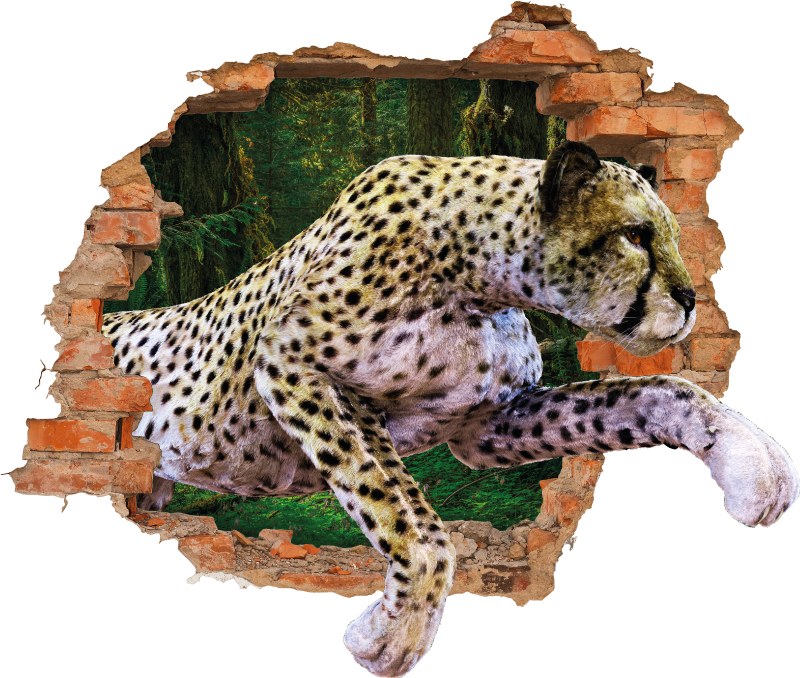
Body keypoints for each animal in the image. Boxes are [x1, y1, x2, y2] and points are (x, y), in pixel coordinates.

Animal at [101, 140, 798, 678]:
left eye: (673, 234)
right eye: (634, 235)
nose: (689, 299)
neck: (479, 281)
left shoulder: (486, 426)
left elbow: (659, 391)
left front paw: (754, 464)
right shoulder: (294, 364)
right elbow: (409, 521)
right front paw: (390, 636)